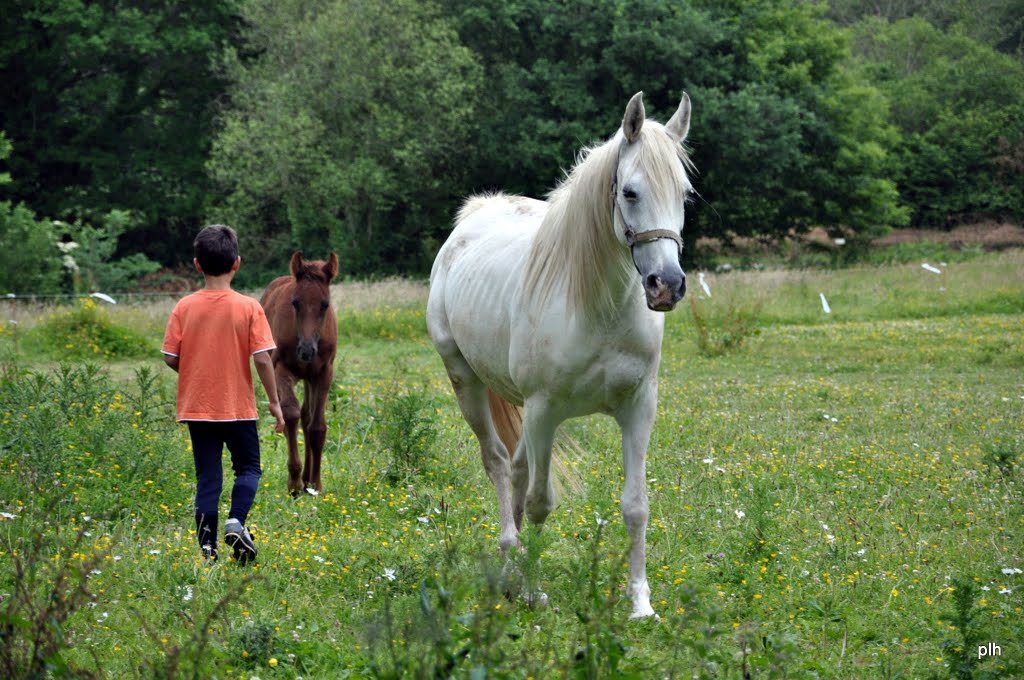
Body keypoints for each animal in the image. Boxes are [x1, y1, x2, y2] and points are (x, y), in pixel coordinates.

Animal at [423, 89, 696, 614]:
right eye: (630, 192)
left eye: (684, 195)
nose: (667, 286)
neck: (598, 310)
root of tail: (472, 220)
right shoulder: (544, 410)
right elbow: (539, 503)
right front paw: (533, 591)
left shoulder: (638, 408)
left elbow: (636, 506)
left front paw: (640, 603)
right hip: (468, 383)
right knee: (498, 464)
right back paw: (510, 561)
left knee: (517, 468)